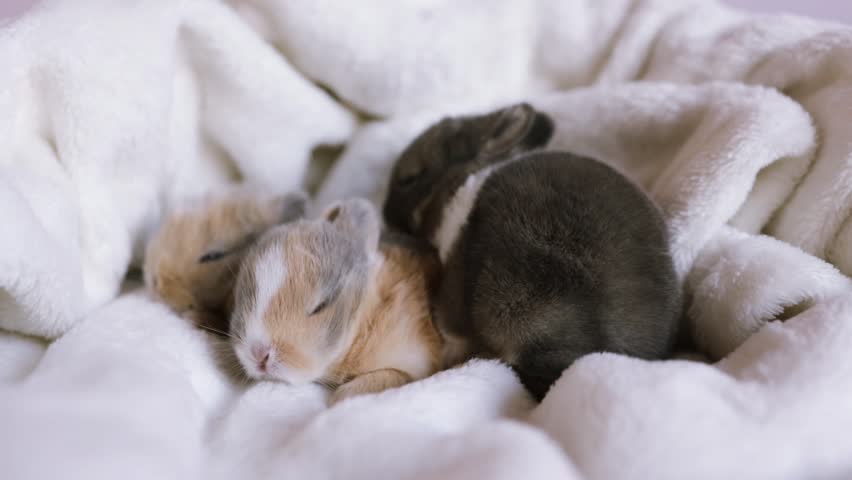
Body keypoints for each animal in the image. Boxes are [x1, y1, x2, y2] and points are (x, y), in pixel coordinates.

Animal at [233, 197, 446, 404]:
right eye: (243, 295)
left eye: (321, 305)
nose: (259, 354)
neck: (366, 315)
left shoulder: (416, 364)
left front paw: (338, 398)